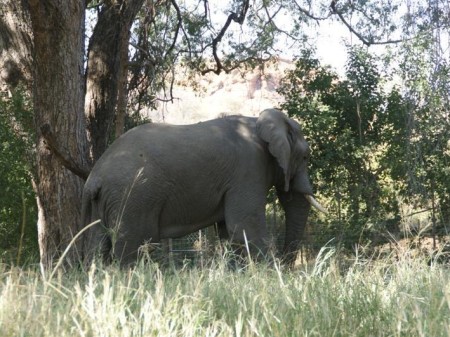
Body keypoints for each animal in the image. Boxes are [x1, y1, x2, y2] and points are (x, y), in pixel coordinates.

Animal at [81, 108, 326, 266]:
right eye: (305, 156)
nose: (285, 264)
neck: (260, 120)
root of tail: (94, 178)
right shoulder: (248, 169)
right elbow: (244, 226)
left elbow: (229, 231)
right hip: (132, 198)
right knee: (134, 244)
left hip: (105, 201)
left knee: (97, 245)